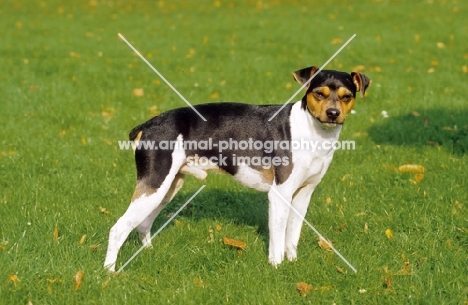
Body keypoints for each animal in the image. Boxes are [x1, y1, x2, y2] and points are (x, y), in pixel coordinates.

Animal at [104, 65, 372, 270]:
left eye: (347, 96)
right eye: (319, 93)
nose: (333, 113)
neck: (312, 131)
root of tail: (146, 125)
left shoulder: (303, 195)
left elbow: (292, 235)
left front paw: (293, 263)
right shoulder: (280, 195)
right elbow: (277, 239)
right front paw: (276, 267)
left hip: (166, 187)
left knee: (142, 223)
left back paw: (148, 253)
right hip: (155, 185)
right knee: (118, 229)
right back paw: (109, 273)